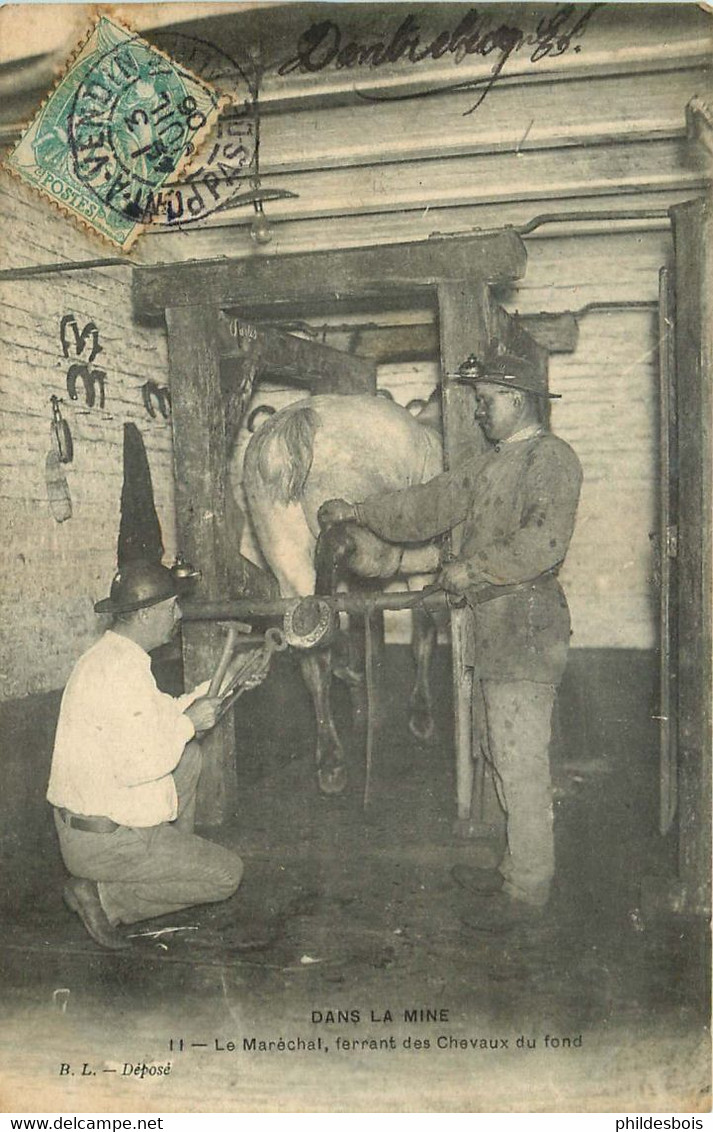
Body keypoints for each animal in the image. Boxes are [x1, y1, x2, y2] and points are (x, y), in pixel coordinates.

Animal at [237, 393, 443, 792]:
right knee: (346, 544)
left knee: (312, 643)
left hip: (287, 558)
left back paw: (332, 759)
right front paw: (422, 714)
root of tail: (295, 421)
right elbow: (424, 632)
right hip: (374, 529)